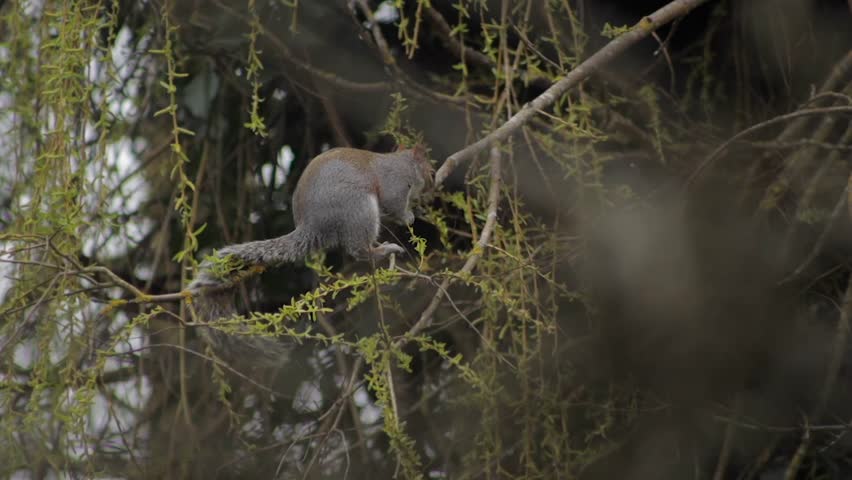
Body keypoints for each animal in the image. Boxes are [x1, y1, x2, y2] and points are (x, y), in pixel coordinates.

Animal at [187, 146, 433, 365]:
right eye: (429, 170)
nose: (432, 183)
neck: (403, 163)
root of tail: (312, 225)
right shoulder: (395, 184)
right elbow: (394, 204)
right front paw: (408, 216)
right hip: (359, 208)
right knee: (358, 250)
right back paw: (382, 250)